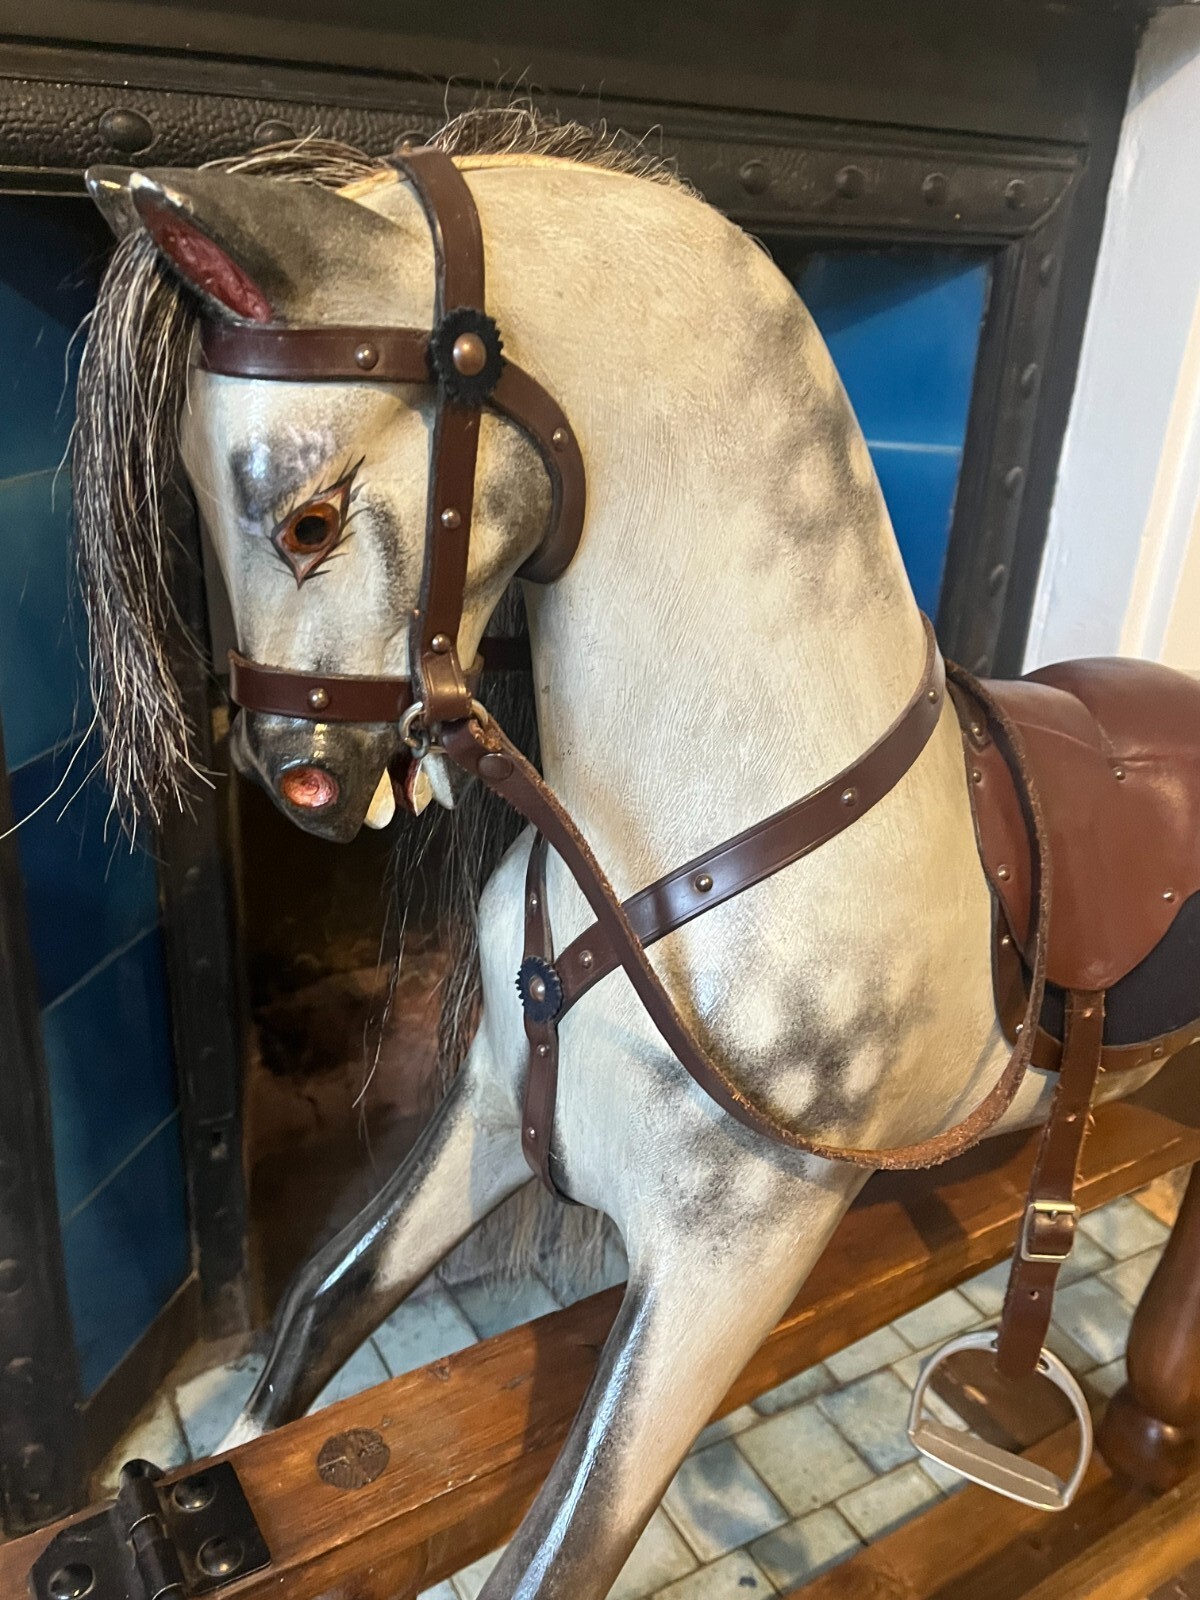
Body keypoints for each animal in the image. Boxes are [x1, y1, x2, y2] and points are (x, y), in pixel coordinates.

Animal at [74, 112, 1200, 1600]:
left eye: (308, 518)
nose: (299, 778)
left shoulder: (730, 1263)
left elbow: (555, 1555)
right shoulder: (489, 1114)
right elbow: (308, 1326)